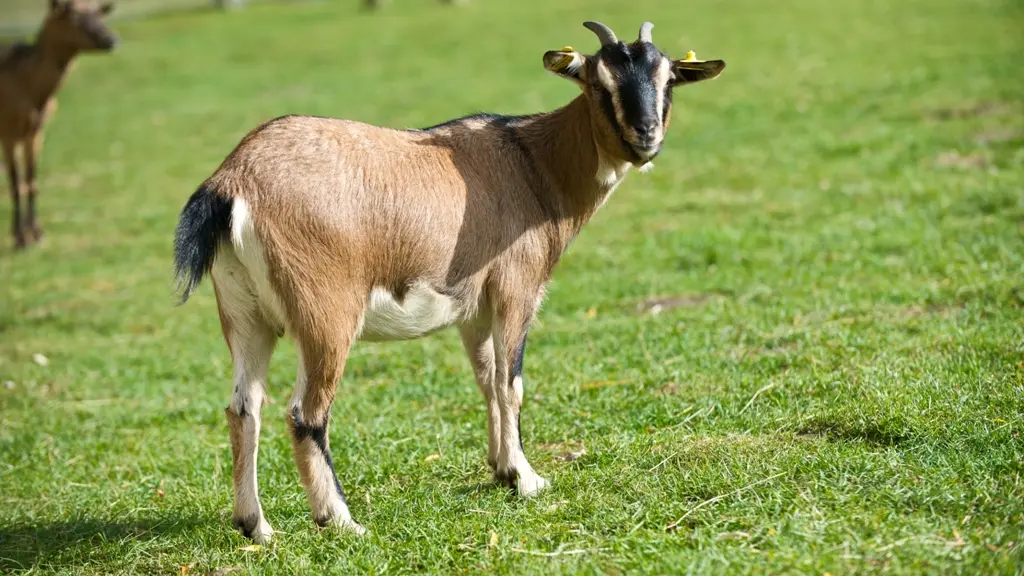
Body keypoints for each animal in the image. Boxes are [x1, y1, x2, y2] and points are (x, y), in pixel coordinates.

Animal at [0, 1, 117, 249]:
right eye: (73, 18)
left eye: (99, 14)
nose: (112, 39)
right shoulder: (8, 129)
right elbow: (15, 183)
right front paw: (20, 238)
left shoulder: (35, 131)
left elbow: (31, 180)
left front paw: (37, 234)